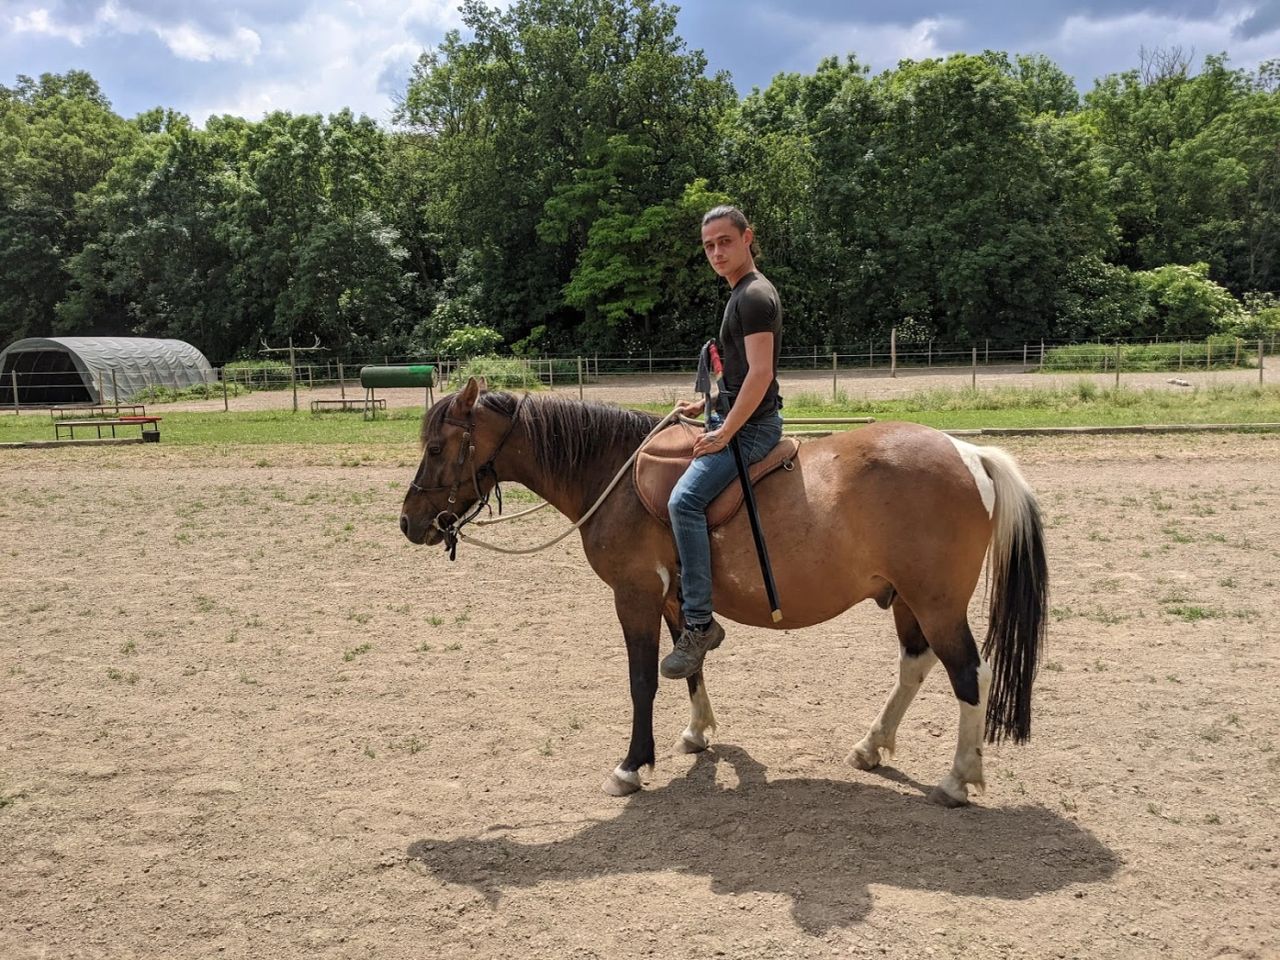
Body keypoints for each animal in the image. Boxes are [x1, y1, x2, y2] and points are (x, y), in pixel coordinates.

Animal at [399, 378, 1048, 807]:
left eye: (434, 448)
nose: (409, 522)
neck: (614, 472)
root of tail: (969, 453)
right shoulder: (674, 601)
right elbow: (689, 665)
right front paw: (696, 733)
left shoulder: (634, 596)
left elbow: (642, 680)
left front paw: (631, 766)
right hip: (908, 601)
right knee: (916, 665)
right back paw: (871, 746)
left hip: (936, 603)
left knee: (969, 674)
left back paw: (958, 778)